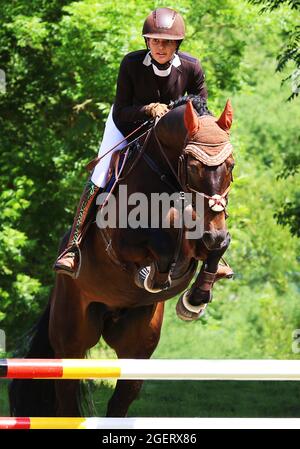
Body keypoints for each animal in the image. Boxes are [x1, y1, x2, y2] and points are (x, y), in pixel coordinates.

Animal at [8, 94, 234, 416]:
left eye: (231, 165)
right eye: (192, 166)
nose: (212, 230)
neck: (168, 182)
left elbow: (216, 247)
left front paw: (195, 299)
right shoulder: (121, 244)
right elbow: (161, 246)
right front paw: (154, 277)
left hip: (137, 347)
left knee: (121, 399)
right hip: (71, 339)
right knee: (67, 398)